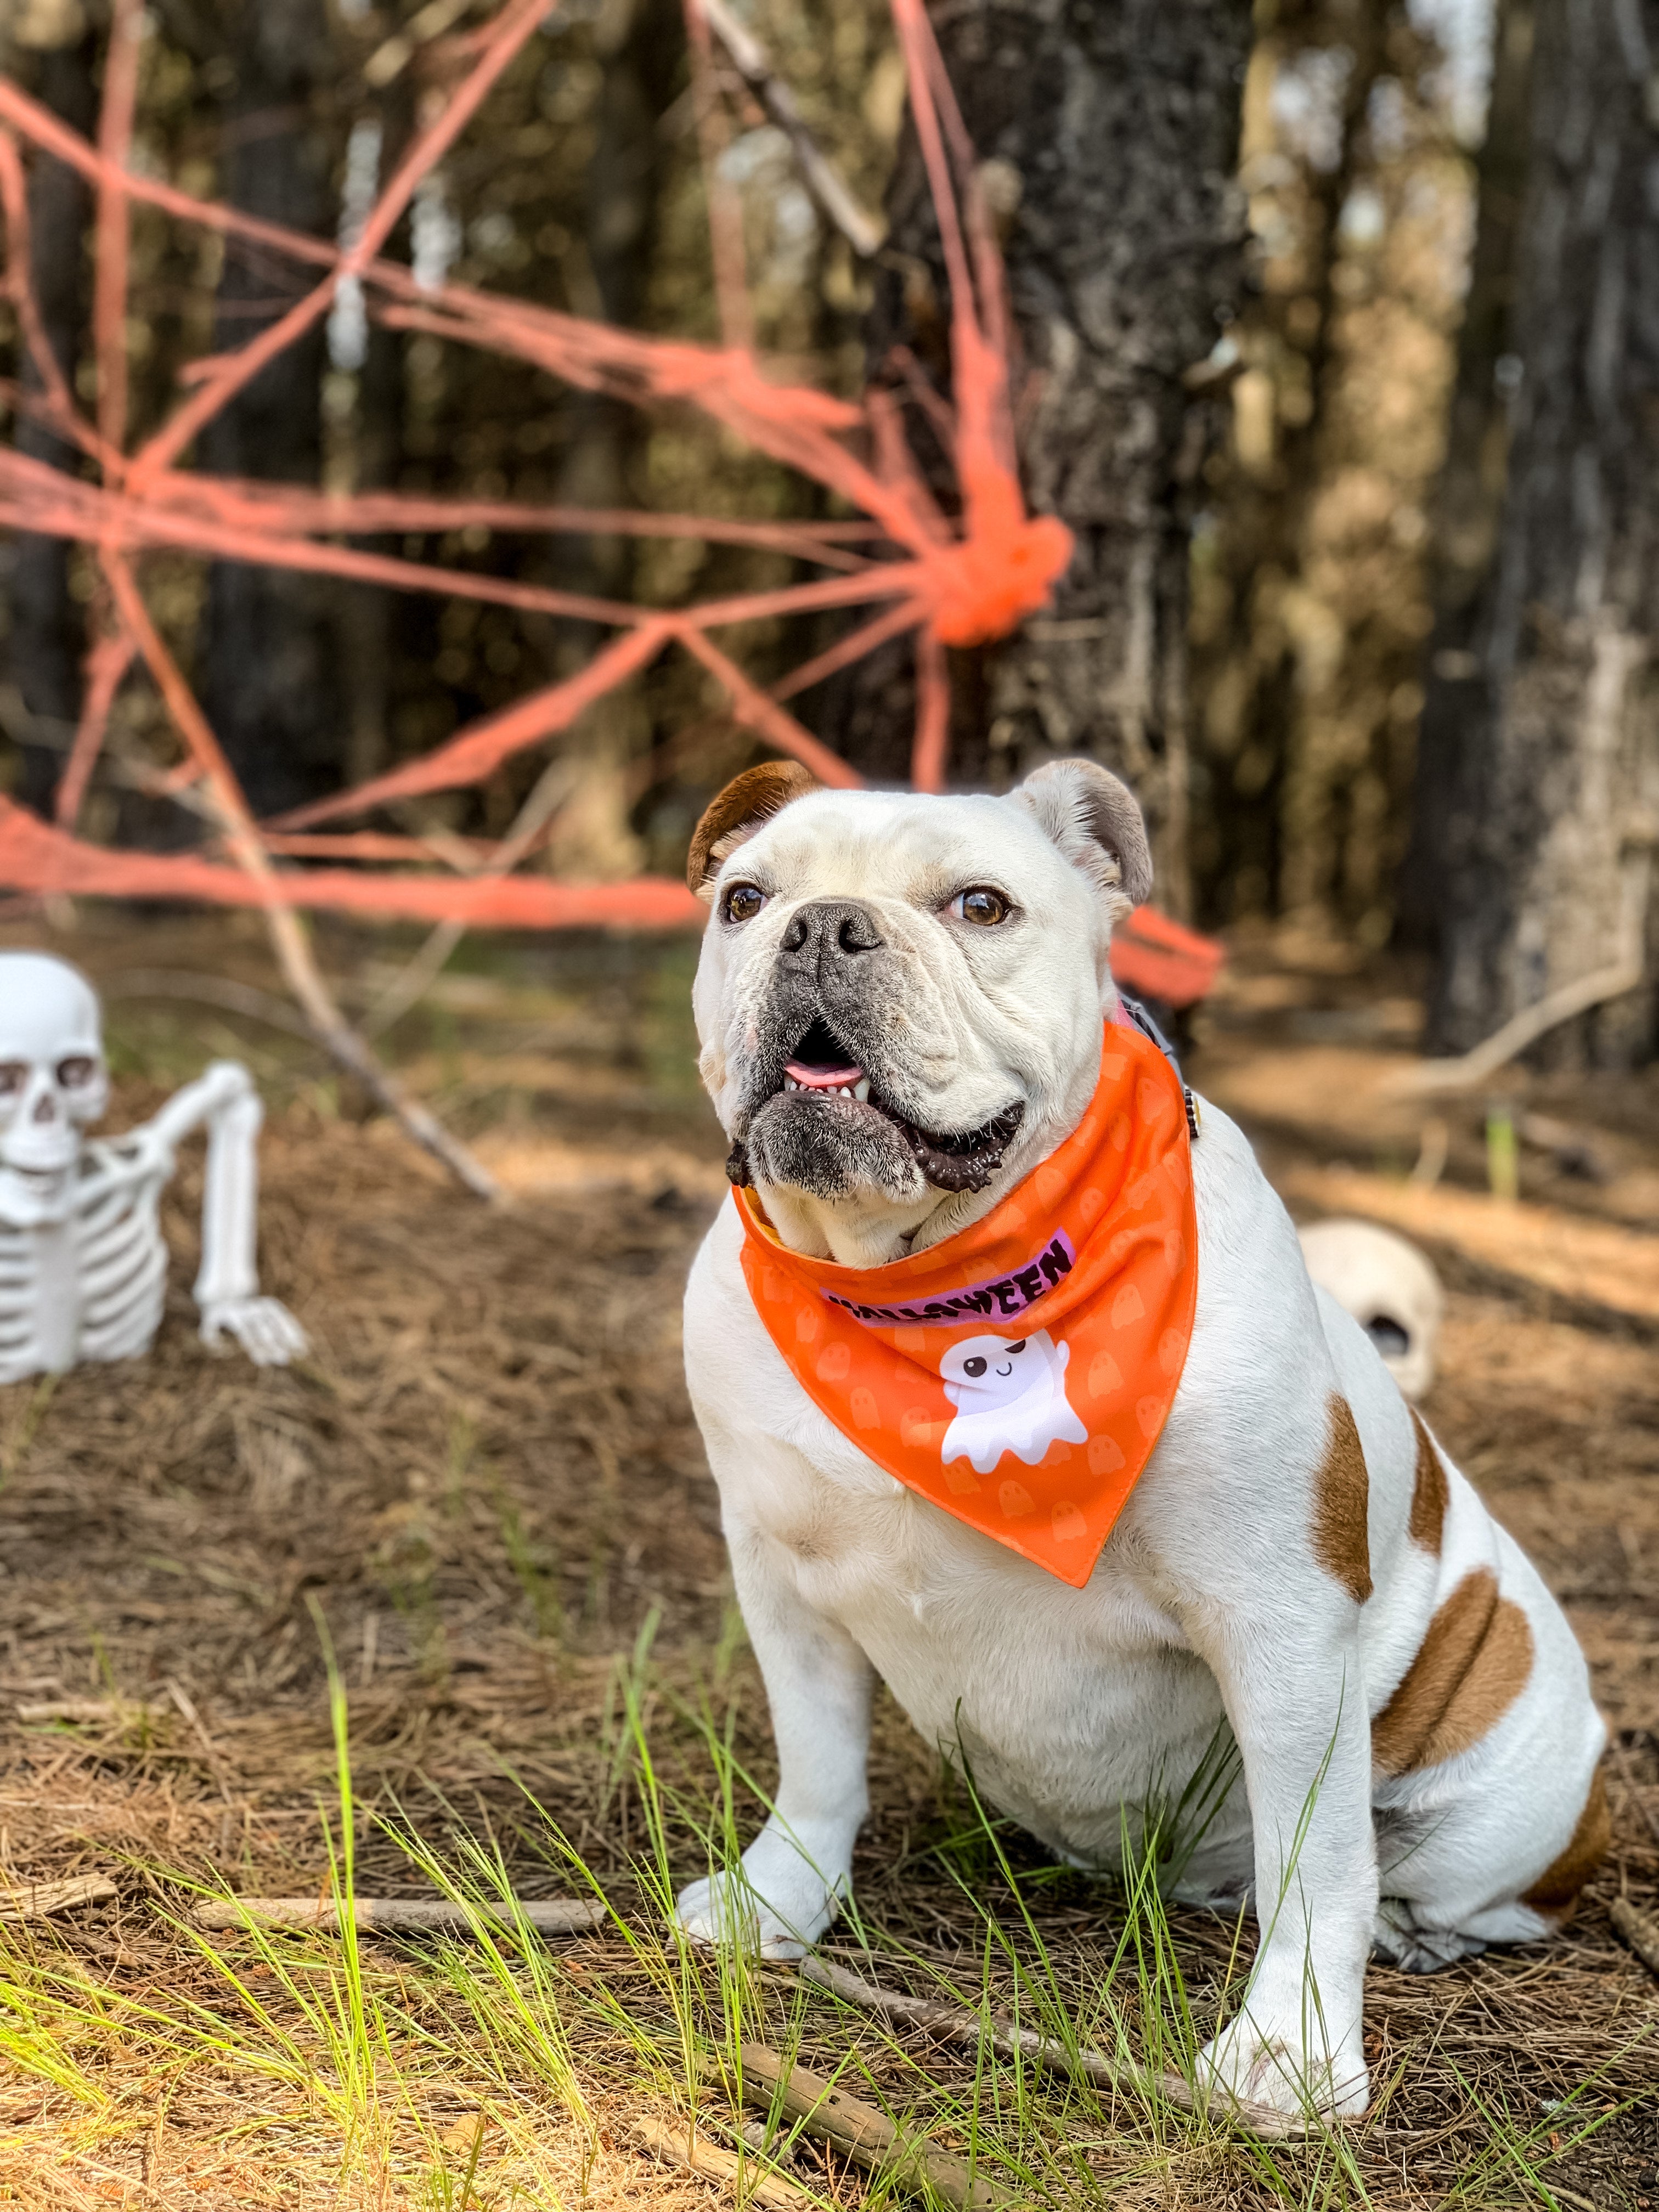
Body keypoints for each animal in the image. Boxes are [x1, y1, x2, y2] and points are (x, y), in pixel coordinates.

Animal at [672, 756, 1610, 2123]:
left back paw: (1407, 1930)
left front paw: (1290, 2050)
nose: (822, 926)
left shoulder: (1279, 1623)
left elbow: (1321, 1854)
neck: (920, 1282)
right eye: (746, 900)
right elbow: (818, 1759)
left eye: (982, 906)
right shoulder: (781, 1576)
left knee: (1448, 1887)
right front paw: (777, 1901)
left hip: (1511, 1783)